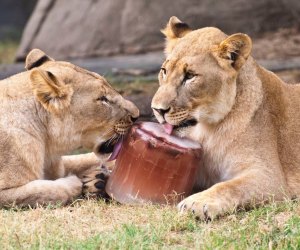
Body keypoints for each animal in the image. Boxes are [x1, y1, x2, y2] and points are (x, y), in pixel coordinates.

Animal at [0, 48, 139, 207]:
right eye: (102, 99)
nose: (137, 115)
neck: (46, 142)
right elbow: (47, 191)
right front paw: (79, 182)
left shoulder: (59, 164)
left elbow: (84, 159)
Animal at [151, 16, 300, 219]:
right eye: (164, 71)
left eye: (190, 76)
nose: (157, 109)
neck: (207, 131)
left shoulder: (269, 177)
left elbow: (230, 187)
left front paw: (196, 202)